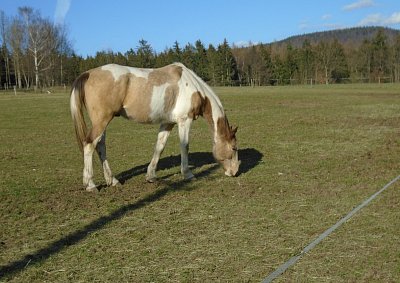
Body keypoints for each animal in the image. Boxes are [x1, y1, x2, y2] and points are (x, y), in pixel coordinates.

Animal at [70, 63, 241, 192]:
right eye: (233, 148)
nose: (234, 172)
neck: (194, 89)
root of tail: (88, 73)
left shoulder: (167, 123)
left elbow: (159, 147)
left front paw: (151, 176)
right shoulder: (184, 121)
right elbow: (184, 146)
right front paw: (187, 174)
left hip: (102, 122)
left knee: (100, 146)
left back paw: (113, 181)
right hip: (102, 120)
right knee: (89, 144)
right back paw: (90, 185)